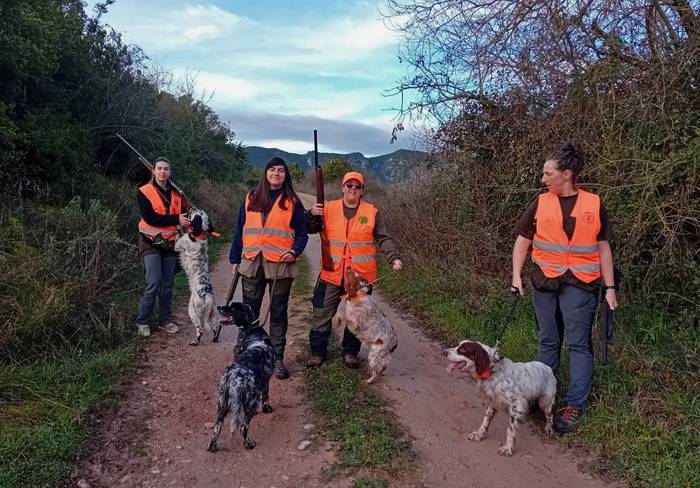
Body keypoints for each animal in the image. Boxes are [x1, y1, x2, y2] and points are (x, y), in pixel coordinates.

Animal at [174, 208, 216, 346]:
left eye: (196, 212)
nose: (191, 208)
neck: (199, 235)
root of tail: (207, 297)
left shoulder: (178, 244)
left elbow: (178, 236)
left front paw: (178, 225)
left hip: (192, 311)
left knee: (200, 329)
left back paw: (195, 341)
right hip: (212, 314)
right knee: (214, 327)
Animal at [206, 304, 274, 452]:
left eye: (232, 308)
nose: (218, 306)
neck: (253, 332)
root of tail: (232, 377)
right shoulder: (266, 381)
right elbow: (266, 397)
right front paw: (267, 409)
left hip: (221, 407)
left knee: (217, 429)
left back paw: (212, 447)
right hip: (252, 403)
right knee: (243, 427)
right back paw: (249, 444)